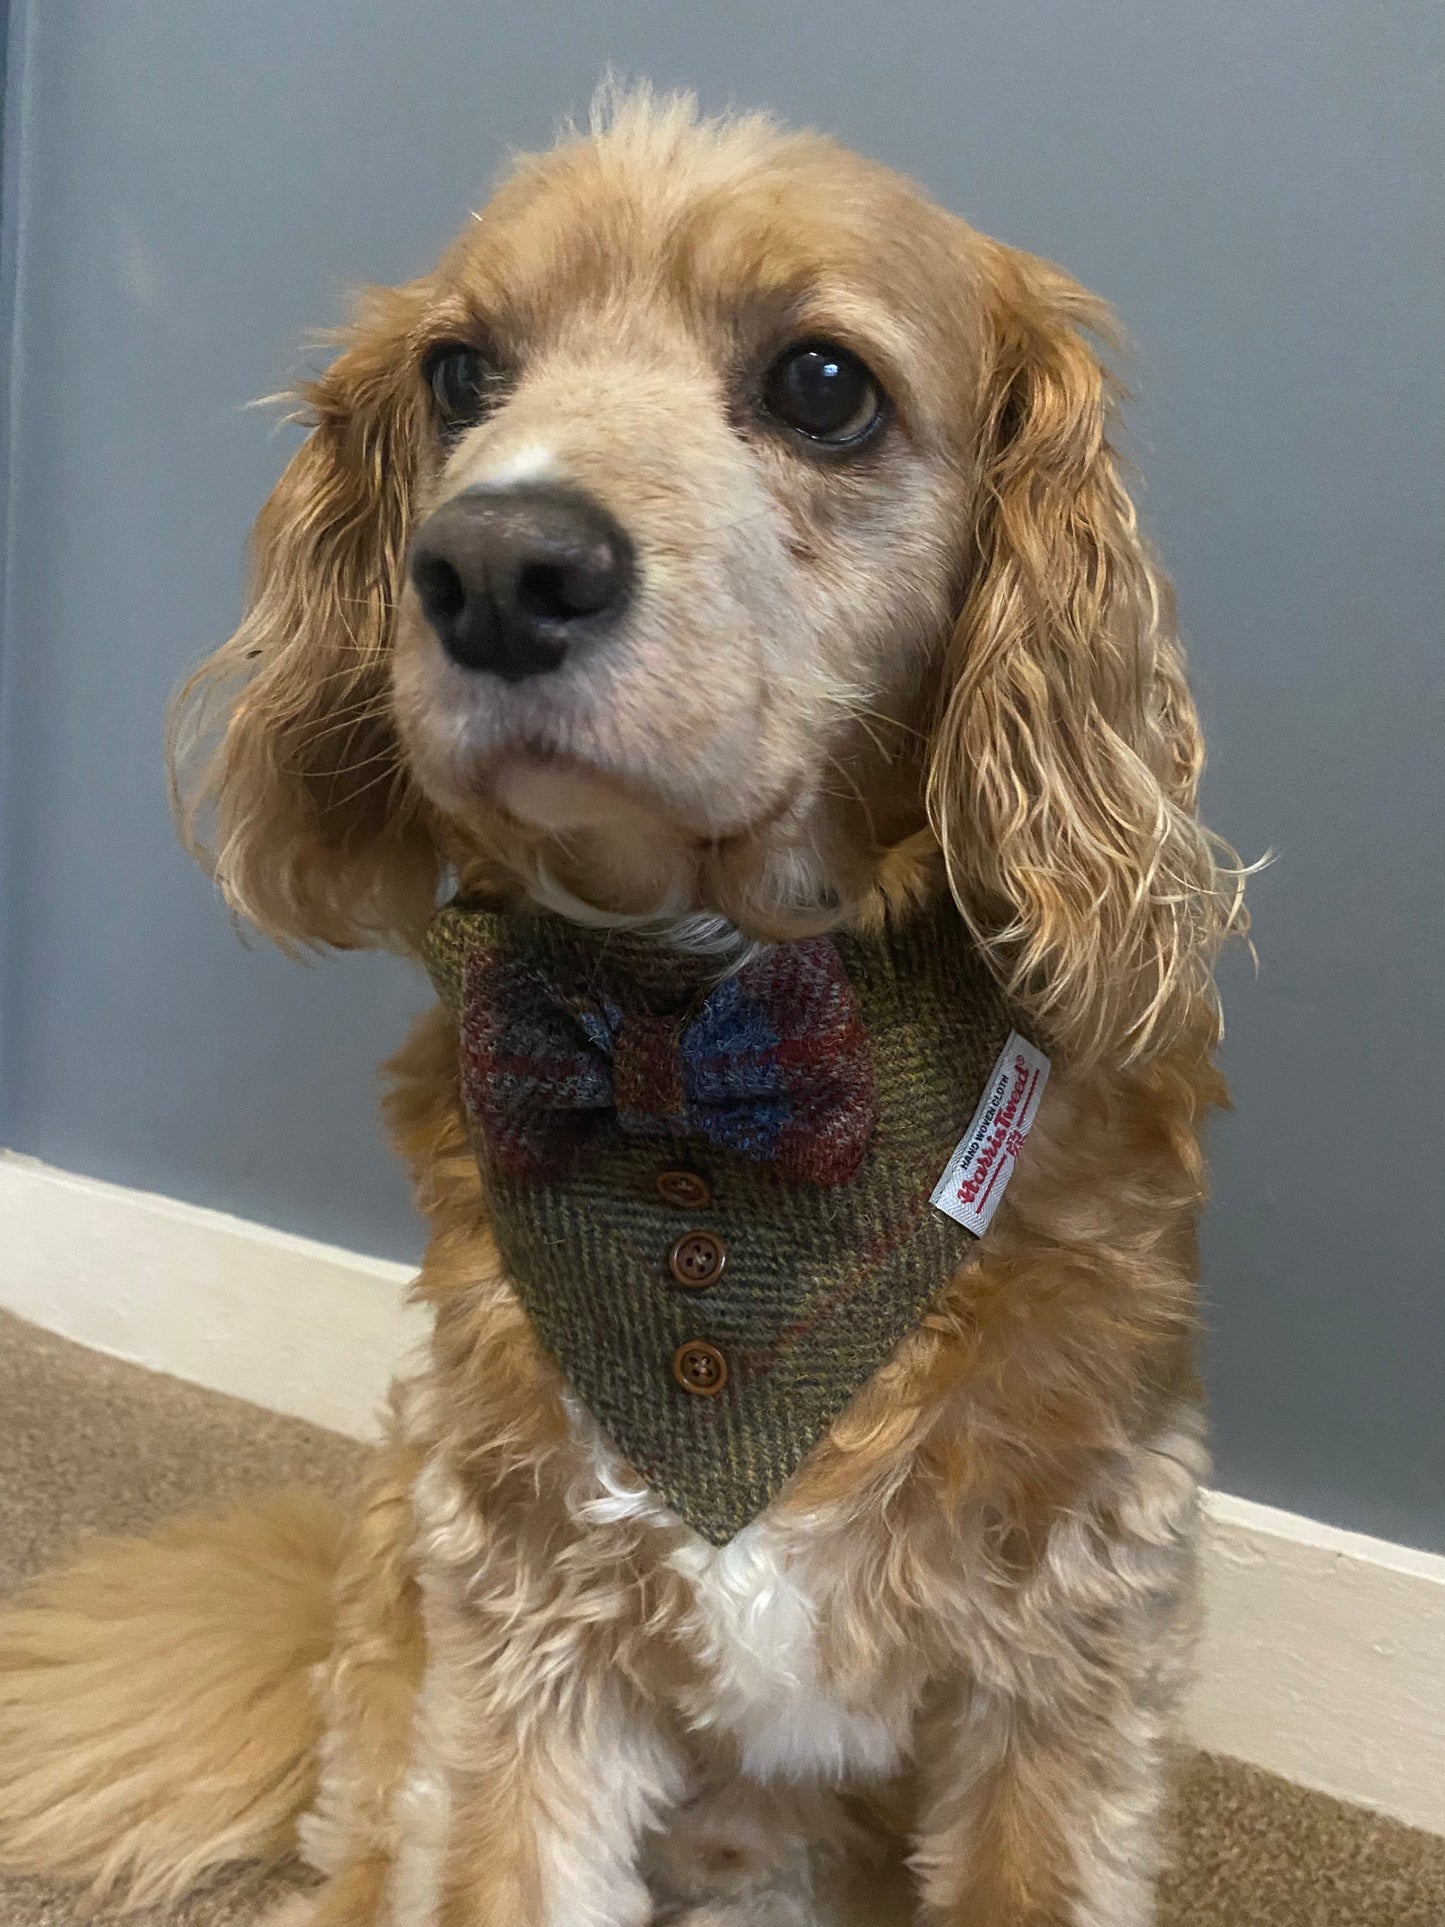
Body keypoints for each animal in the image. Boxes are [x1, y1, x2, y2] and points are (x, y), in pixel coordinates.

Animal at [0, 82, 1248, 1919]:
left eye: (823, 384)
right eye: (460, 372)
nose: (493, 565)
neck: (699, 1047)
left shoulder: (1069, 1654)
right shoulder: (524, 1636)